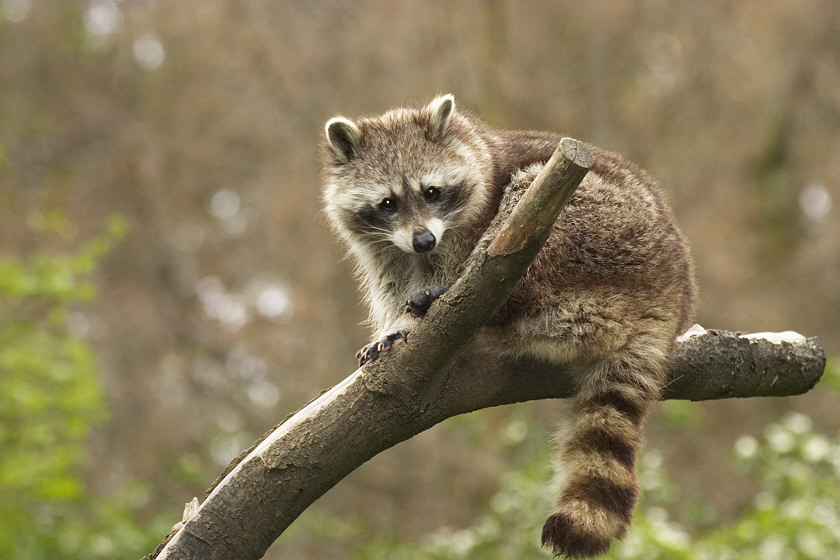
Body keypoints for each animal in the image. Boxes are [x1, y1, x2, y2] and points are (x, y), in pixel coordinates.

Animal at [320, 95, 696, 556]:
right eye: (387, 203)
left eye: (432, 192)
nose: (424, 240)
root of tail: (671, 295)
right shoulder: (384, 247)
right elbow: (391, 281)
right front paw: (392, 324)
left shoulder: (470, 225)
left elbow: (461, 255)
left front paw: (413, 317)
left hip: (604, 231)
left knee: (527, 202)